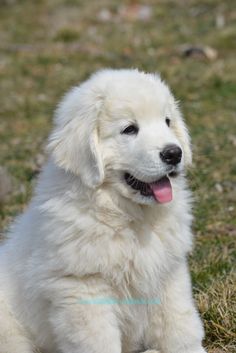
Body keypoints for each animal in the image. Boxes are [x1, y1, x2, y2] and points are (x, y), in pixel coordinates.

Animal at [0, 69, 206, 352]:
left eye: (167, 121)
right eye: (129, 129)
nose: (174, 153)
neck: (128, 217)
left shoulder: (169, 275)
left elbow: (180, 325)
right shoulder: (84, 290)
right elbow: (100, 341)